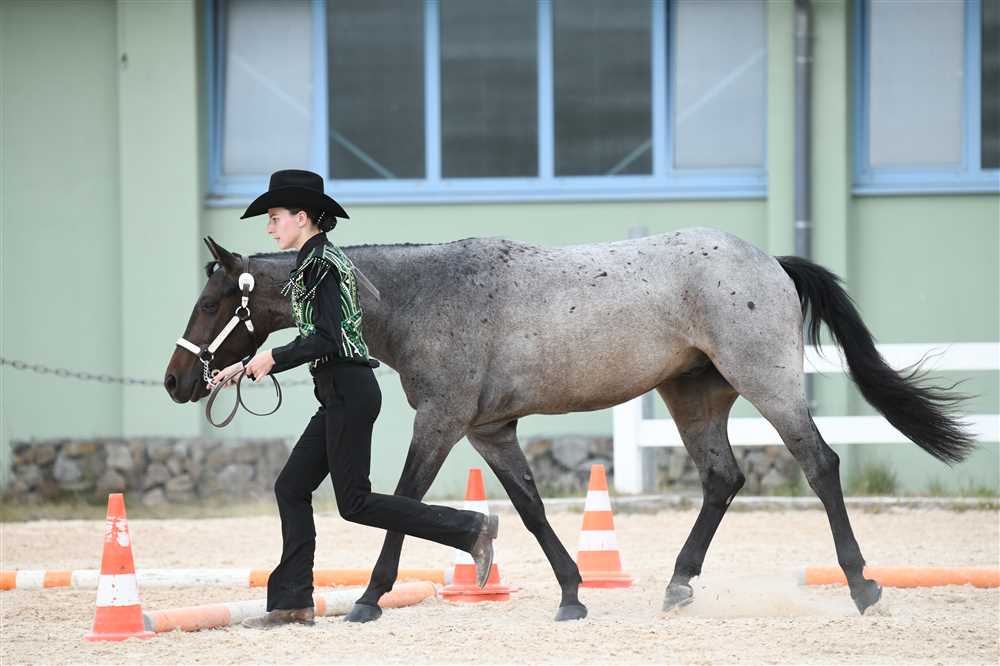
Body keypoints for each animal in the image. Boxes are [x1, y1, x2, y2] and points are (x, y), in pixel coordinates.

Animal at [164, 228, 973, 622]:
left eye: (210, 302)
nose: (177, 381)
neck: (423, 297)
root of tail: (768, 262)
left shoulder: (443, 421)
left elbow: (399, 503)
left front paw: (367, 599)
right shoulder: (491, 431)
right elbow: (528, 511)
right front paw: (572, 593)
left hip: (766, 383)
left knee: (820, 464)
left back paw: (862, 586)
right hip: (694, 398)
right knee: (723, 477)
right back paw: (677, 587)